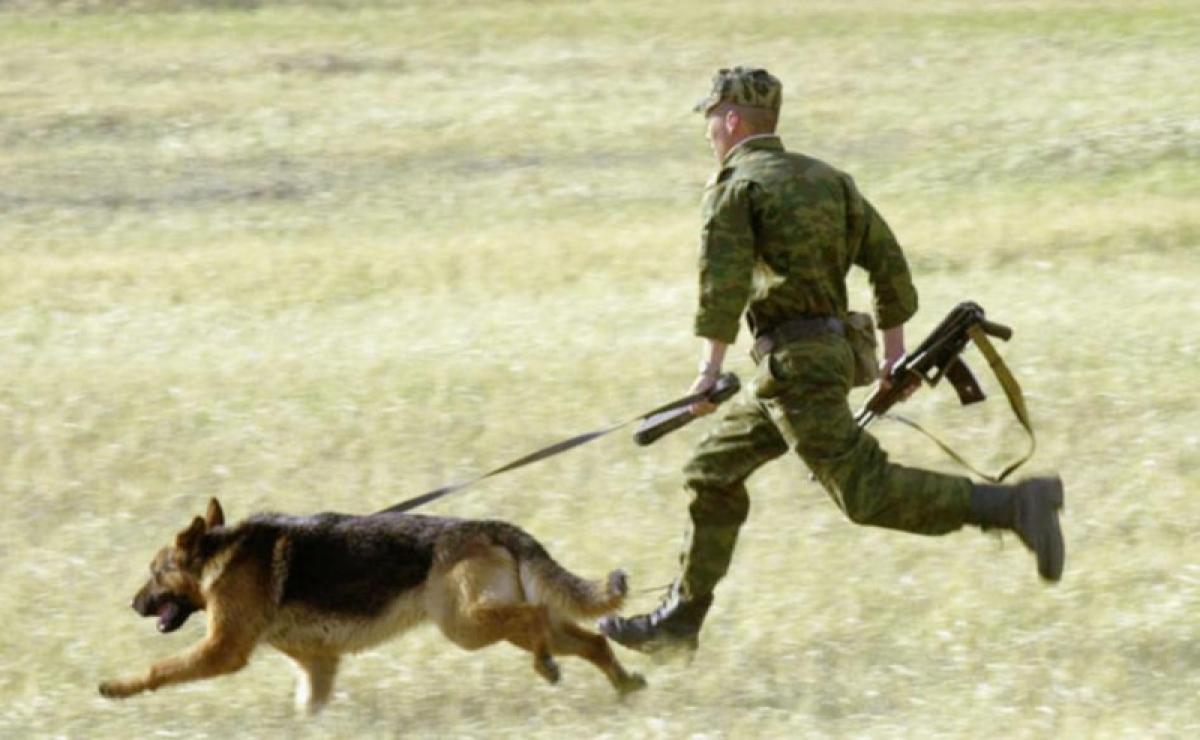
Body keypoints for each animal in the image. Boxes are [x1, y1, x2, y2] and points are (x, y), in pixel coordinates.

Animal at [100, 498, 648, 714]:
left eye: (155, 573)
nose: (131, 604)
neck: (222, 552)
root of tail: (493, 527)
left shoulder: (222, 651)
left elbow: (159, 668)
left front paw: (115, 687)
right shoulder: (318, 665)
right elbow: (309, 708)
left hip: (467, 626)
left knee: (539, 624)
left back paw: (547, 667)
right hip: (493, 621)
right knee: (593, 639)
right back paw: (624, 686)